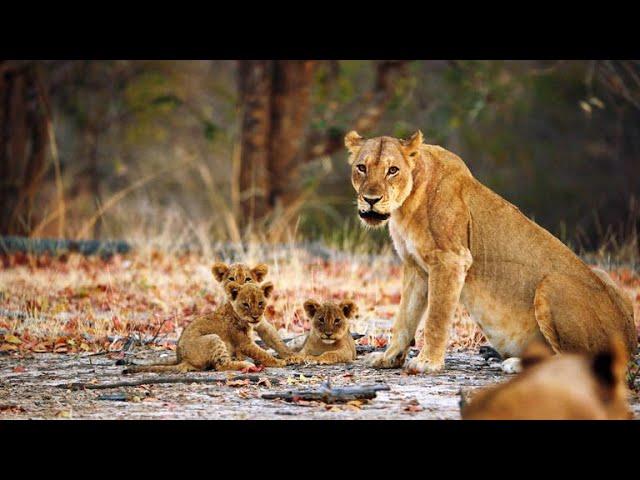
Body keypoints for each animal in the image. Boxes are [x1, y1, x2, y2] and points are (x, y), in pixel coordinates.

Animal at [348, 131, 636, 376]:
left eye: (392, 170)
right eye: (361, 167)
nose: (371, 200)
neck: (406, 205)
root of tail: (631, 341)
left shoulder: (451, 259)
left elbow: (436, 318)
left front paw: (427, 363)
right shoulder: (415, 267)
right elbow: (403, 317)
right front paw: (388, 357)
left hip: (552, 284)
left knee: (576, 361)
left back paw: (516, 364)